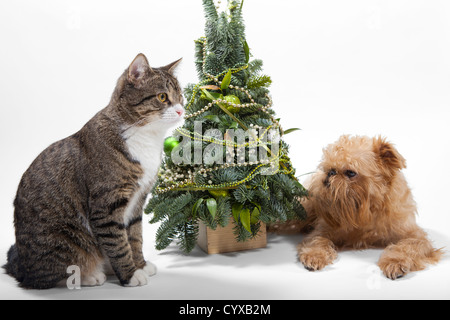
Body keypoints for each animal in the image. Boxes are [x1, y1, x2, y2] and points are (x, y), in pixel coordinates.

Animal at [3, 53, 183, 288]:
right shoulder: (106, 204)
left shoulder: (138, 200)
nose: (181, 110)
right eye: (162, 97)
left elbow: (135, 237)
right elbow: (118, 242)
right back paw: (88, 275)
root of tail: (22, 266)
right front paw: (130, 274)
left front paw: (140, 265)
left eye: (180, 96)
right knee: (54, 275)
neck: (145, 137)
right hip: (64, 240)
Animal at [294, 136, 442, 280]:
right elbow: (317, 240)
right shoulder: (323, 230)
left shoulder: (415, 236)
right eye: (329, 169)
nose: (330, 174)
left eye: (350, 173)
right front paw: (315, 255)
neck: (367, 211)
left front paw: (395, 262)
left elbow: (407, 247)